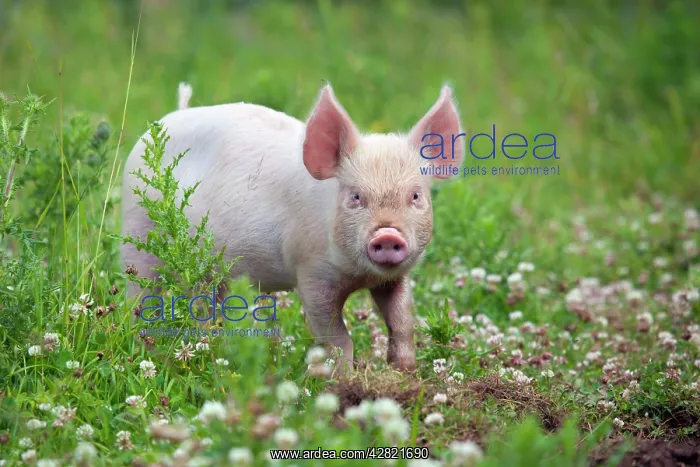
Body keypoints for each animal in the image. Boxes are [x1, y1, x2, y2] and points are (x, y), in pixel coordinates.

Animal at [121, 83, 464, 374]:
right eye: (355, 197)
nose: (388, 234)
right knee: (141, 294)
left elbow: (402, 320)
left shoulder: (394, 277)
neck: (358, 275)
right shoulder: (310, 271)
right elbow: (336, 336)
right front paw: (341, 380)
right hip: (137, 232)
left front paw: (404, 372)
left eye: (416, 196)